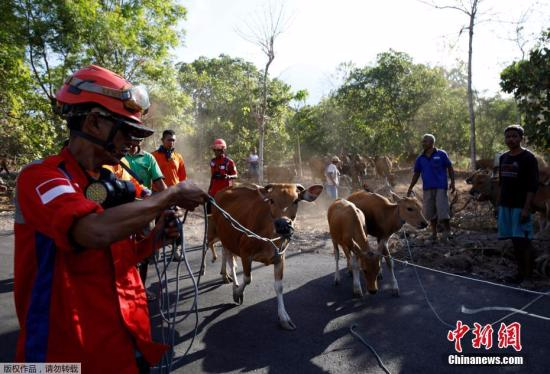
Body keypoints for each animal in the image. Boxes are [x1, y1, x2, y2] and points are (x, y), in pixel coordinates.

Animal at [210, 183, 324, 328]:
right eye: (271, 200)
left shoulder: (280, 258)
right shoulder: (245, 252)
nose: (283, 225)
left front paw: (284, 318)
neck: (269, 236)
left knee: (229, 258)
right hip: (224, 237)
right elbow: (247, 279)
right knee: (229, 258)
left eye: (296, 201)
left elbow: (279, 287)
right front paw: (237, 293)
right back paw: (230, 280)